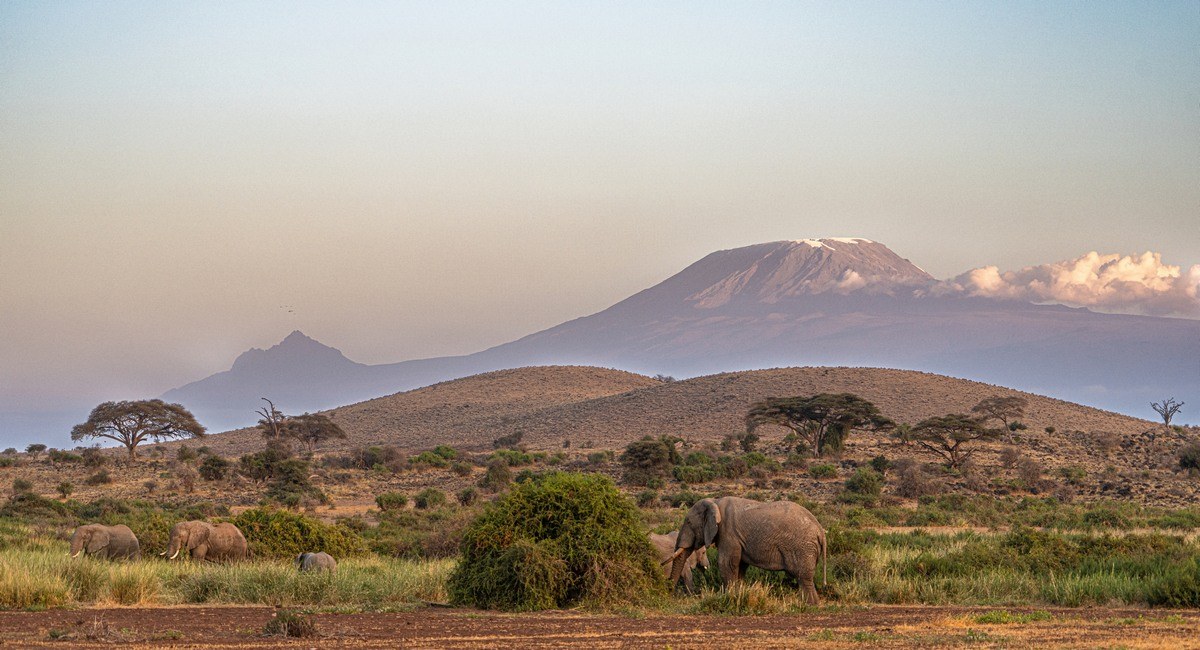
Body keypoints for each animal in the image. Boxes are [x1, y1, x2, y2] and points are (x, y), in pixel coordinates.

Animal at [667, 498, 825, 606]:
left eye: (688, 522)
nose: (669, 593)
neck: (715, 502)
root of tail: (820, 530)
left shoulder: (728, 533)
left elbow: (726, 564)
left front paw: (729, 597)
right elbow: (740, 567)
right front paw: (739, 594)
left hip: (803, 548)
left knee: (803, 577)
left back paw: (810, 605)